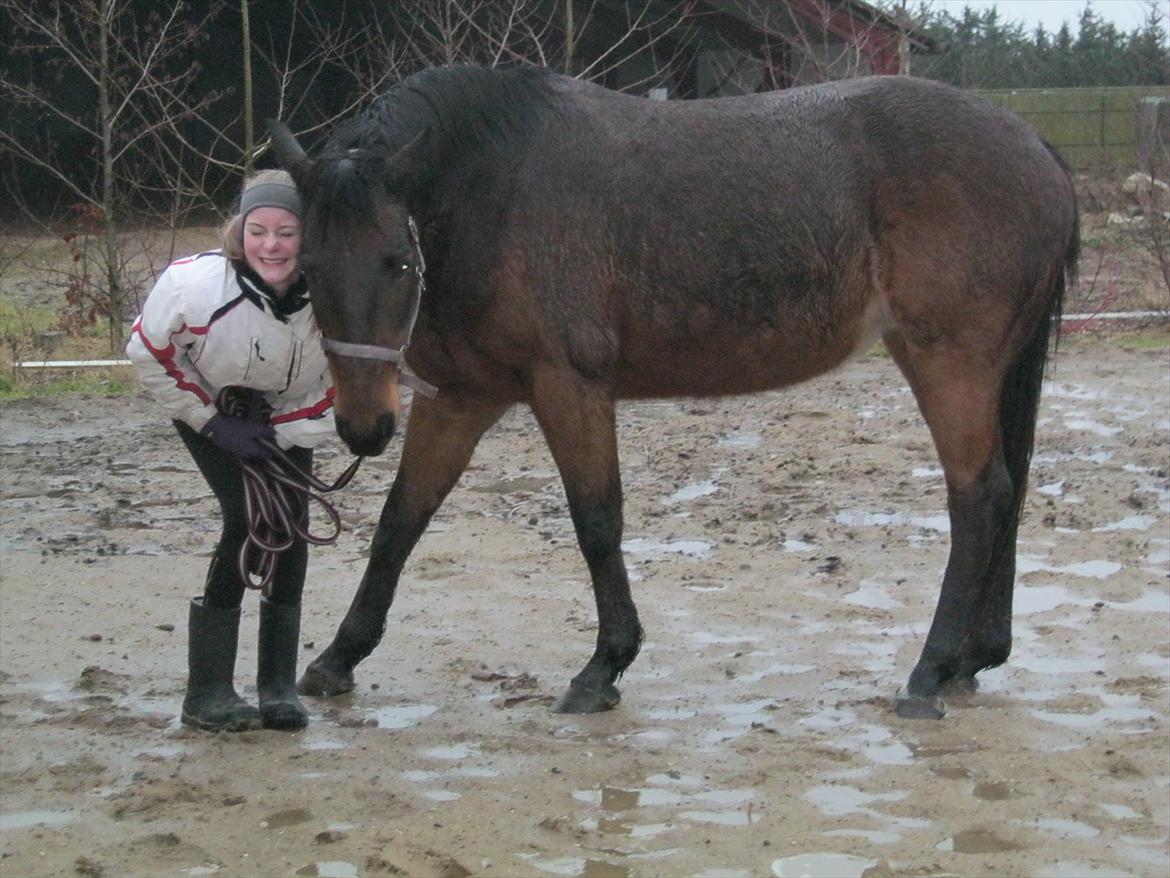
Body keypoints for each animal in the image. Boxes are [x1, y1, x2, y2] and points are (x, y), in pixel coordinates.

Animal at [267, 63, 1076, 721]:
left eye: (398, 261)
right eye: (308, 264)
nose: (363, 427)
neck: (492, 186)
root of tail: (1035, 146)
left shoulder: (569, 385)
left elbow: (596, 520)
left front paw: (603, 667)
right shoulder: (460, 397)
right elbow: (401, 522)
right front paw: (337, 659)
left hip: (949, 363)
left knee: (979, 498)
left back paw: (928, 673)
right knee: (1009, 491)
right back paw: (970, 660)